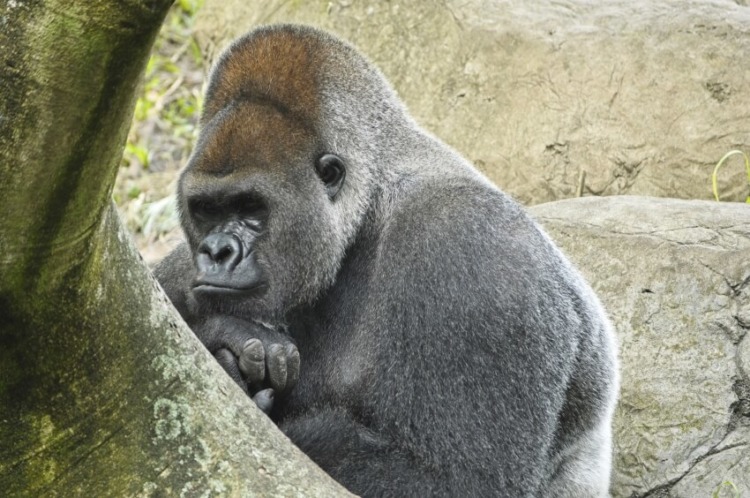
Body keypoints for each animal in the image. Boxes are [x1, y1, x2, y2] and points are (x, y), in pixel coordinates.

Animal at [154, 24, 624, 498]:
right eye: (206, 210)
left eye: (251, 207)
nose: (217, 251)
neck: (368, 207)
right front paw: (224, 335)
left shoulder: (472, 252)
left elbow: (456, 481)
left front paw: (224, 350)